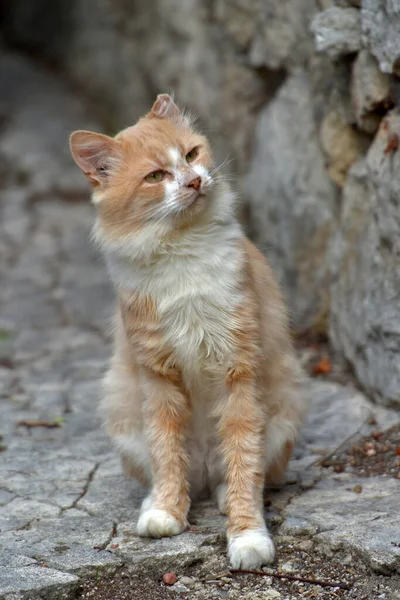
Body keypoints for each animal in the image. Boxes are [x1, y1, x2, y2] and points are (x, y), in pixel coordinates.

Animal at [69, 94, 306, 568]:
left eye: (192, 155)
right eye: (155, 177)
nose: (195, 181)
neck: (182, 252)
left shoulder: (238, 372)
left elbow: (243, 464)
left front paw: (247, 536)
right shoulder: (158, 376)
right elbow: (167, 455)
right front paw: (166, 512)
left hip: (281, 414)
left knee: (229, 475)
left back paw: (223, 498)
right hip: (123, 412)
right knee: (178, 474)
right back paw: (158, 502)